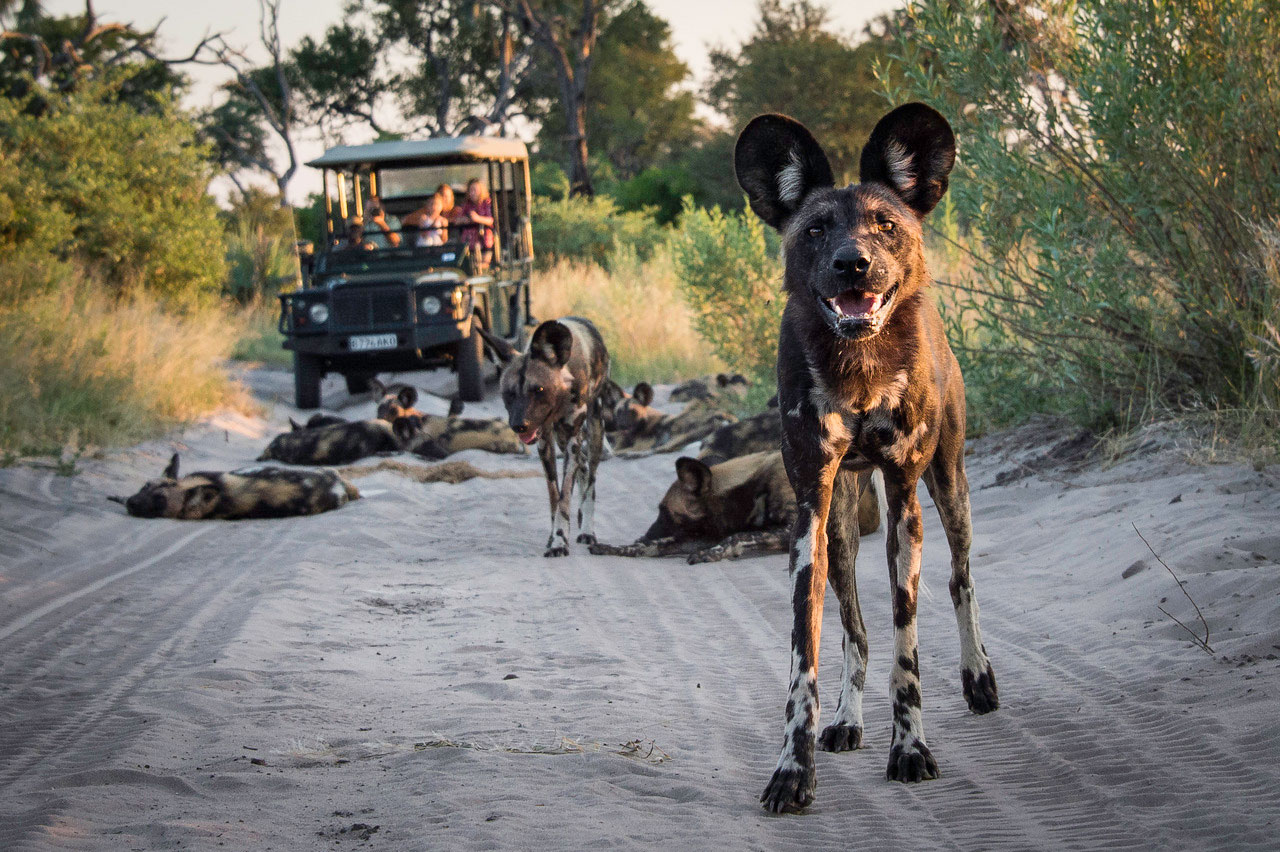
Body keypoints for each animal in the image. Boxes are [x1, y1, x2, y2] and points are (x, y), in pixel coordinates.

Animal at [483, 314, 614, 555]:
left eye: (539, 390)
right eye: (509, 393)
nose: (519, 426)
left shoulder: (571, 438)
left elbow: (564, 495)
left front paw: (560, 541)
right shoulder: (544, 442)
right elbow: (555, 496)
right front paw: (555, 537)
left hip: (594, 430)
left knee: (590, 478)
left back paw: (587, 531)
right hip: (561, 439)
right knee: (582, 467)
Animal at [588, 450, 880, 562]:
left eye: (664, 512)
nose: (644, 534)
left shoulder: (789, 529)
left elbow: (737, 536)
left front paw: (712, 555)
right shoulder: (703, 534)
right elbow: (656, 546)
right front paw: (617, 547)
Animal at [737, 102, 1003, 808]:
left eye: (886, 225)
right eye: (816, 229)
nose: (853, 264)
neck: (858, 369)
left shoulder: (907, 499)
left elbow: (905, 650)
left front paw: (909, 748)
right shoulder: (809, 513)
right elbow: (806, 657)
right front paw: (793, 768)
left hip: (949, 487)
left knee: (961, 579)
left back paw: (978, 678)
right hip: (842, 530)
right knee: (855, 631)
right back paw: (847, 719)